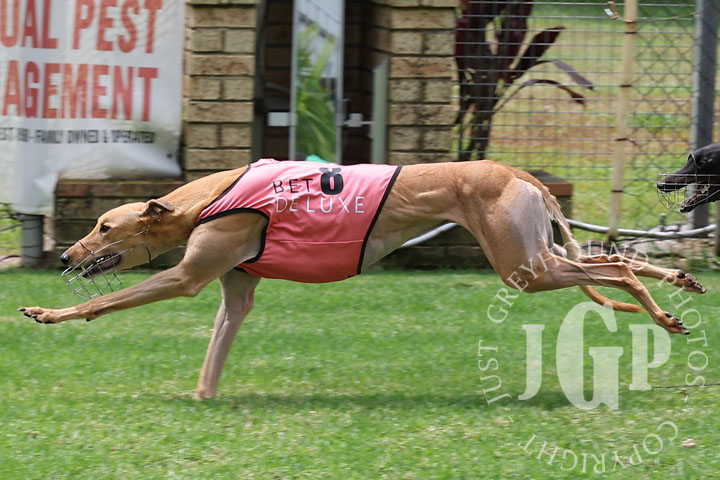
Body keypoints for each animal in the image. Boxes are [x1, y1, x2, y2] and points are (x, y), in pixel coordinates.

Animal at [19, 159, 705, 400]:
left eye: (104, 226)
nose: (65, 256)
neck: (208, 199)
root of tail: (521, 173)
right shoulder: (235, 293)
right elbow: (215, 355)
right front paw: (202, 402)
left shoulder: (187, 277)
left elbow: (105, 302)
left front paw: (46, 314)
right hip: (535, 256)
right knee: (618, 261)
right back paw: (679, 287)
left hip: (522, 267)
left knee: (617, 266)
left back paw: (664, 309)